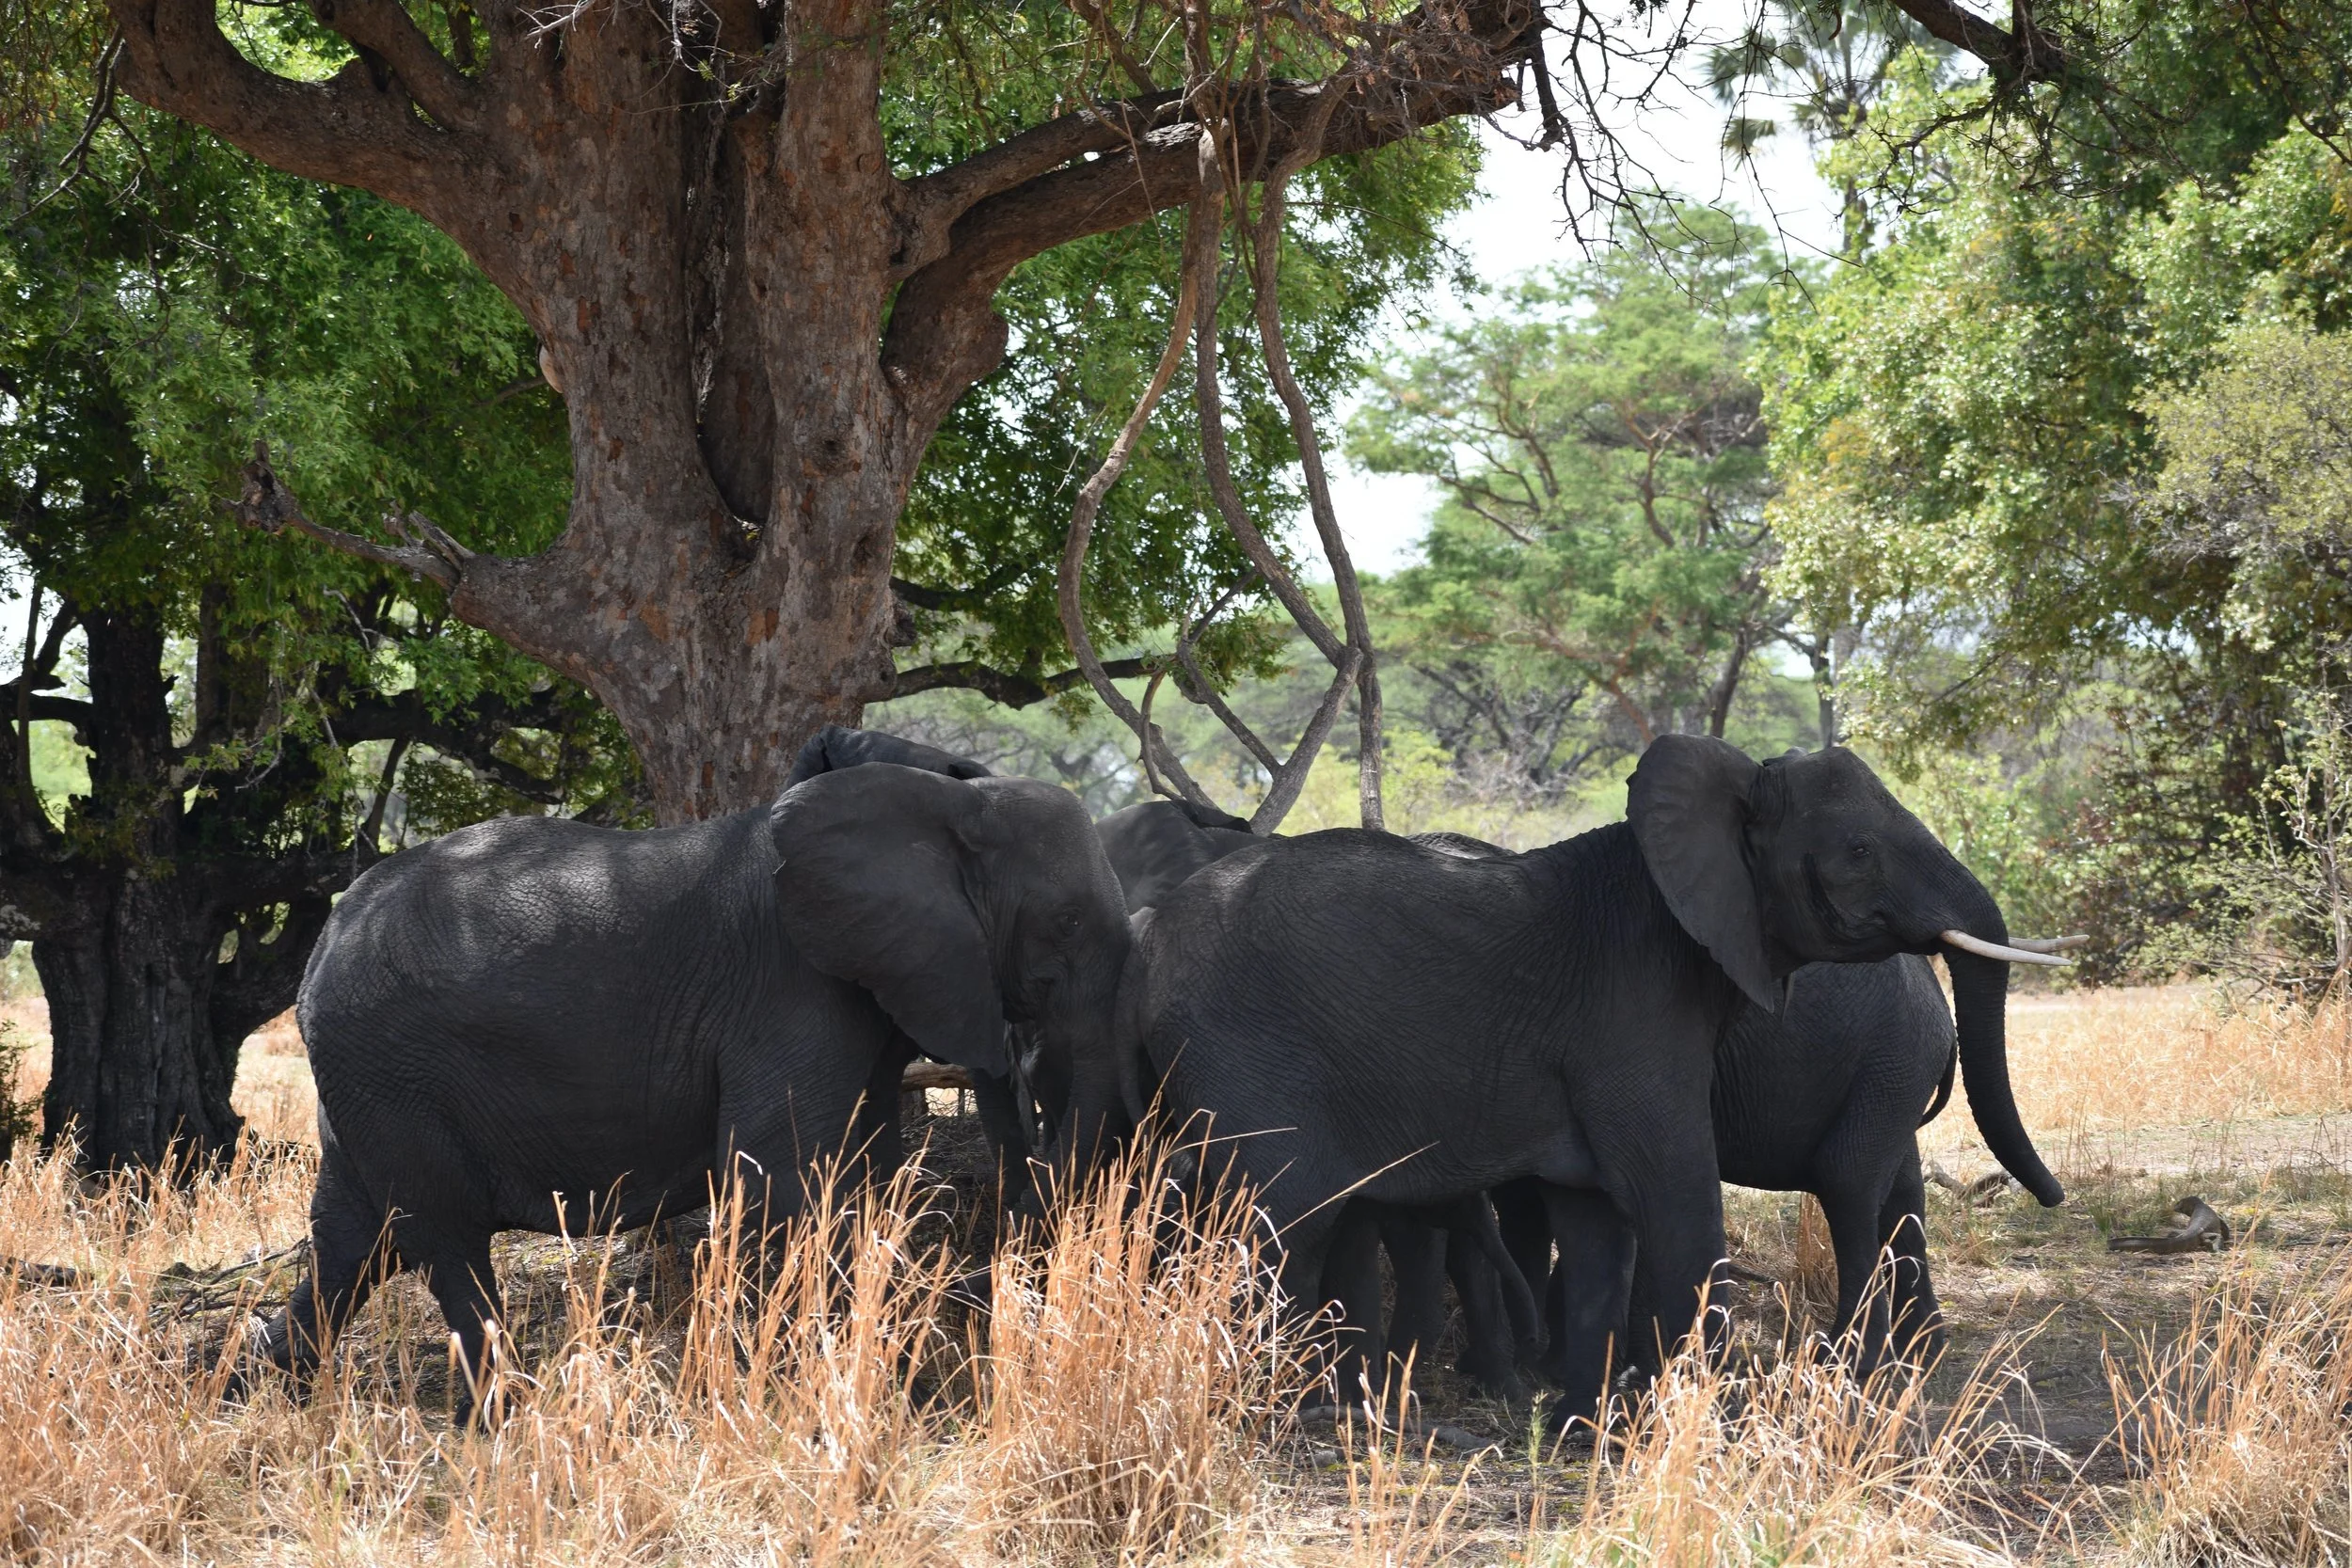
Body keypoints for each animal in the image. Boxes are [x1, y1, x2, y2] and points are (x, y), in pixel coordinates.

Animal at [255, 759, 1132, 1418]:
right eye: (1064, 926)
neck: (950, 799)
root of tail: (323, 943)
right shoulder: (794, 989)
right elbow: (783, 1181)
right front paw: (812, 1392)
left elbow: (864, 1168)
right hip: (392, 1072)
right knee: (442, 1239)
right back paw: (503, 1421)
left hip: (366, 1085)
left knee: (354, 1239)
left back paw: (259, 1385)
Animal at [1115, 736, 2064, 1430]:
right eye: (1859, 850)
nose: (2053, 1198)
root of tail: (1149, 940)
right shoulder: (1633, 1007)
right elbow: (1673, 1190)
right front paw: (1704, 1419)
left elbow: (1598, 1215)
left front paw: (1584, 1421)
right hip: (1245, 1053)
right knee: (1278, 1223)